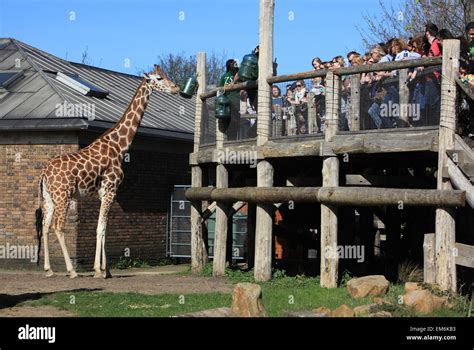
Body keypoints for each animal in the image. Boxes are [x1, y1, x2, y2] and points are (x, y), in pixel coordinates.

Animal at [35, 65, 180, 278]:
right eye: (159, 78)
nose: (177, 88)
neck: (119, 147)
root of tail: (44, 173)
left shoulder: (103, 193)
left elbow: (104, 228)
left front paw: (106, 270)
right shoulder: (111, 190)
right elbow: (101, 228)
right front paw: (98, 270)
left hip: (48, 197)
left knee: (45, 226)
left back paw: (48, 269)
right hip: (63, 195)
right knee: (58, 226)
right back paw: (71, 270)